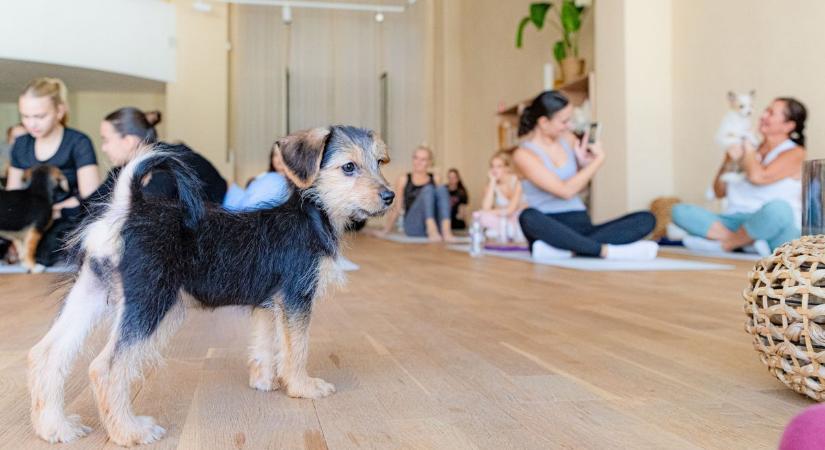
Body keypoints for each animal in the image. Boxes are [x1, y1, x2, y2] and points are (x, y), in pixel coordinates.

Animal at [29, 125, 396, 446]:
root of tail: (126, 209)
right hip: (151, 300)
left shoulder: (267, 303)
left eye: (380, 162)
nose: (390, 196)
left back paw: (54, 427)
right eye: (348, 167)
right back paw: (129, 432)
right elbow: (297, 349)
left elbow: (264, 344)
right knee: (106, 368)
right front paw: (302, 387)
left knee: (48, 352)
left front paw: (264, 382)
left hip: (90, 292)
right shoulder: (297, 297)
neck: (312, 214)